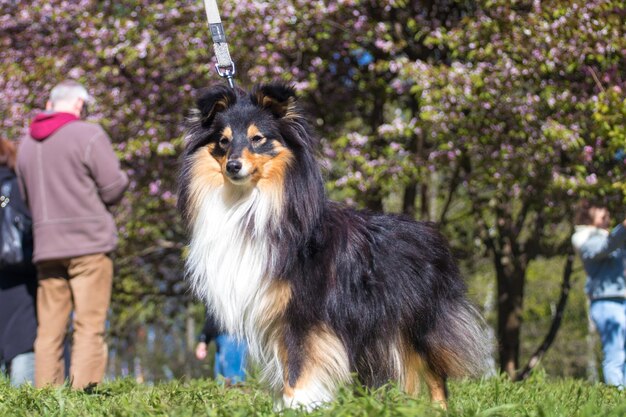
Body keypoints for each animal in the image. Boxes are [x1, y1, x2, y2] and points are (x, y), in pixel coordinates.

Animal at [176, 83, 488, 408]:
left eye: (257, 138)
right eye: (223, 141)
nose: (233, 166)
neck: (249, 205)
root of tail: (431, 233)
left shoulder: (303, 313)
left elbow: (298, 367)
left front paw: (297, 406)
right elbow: (288, 364)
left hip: (421, 321)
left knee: (435, 373)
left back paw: (438, 409)